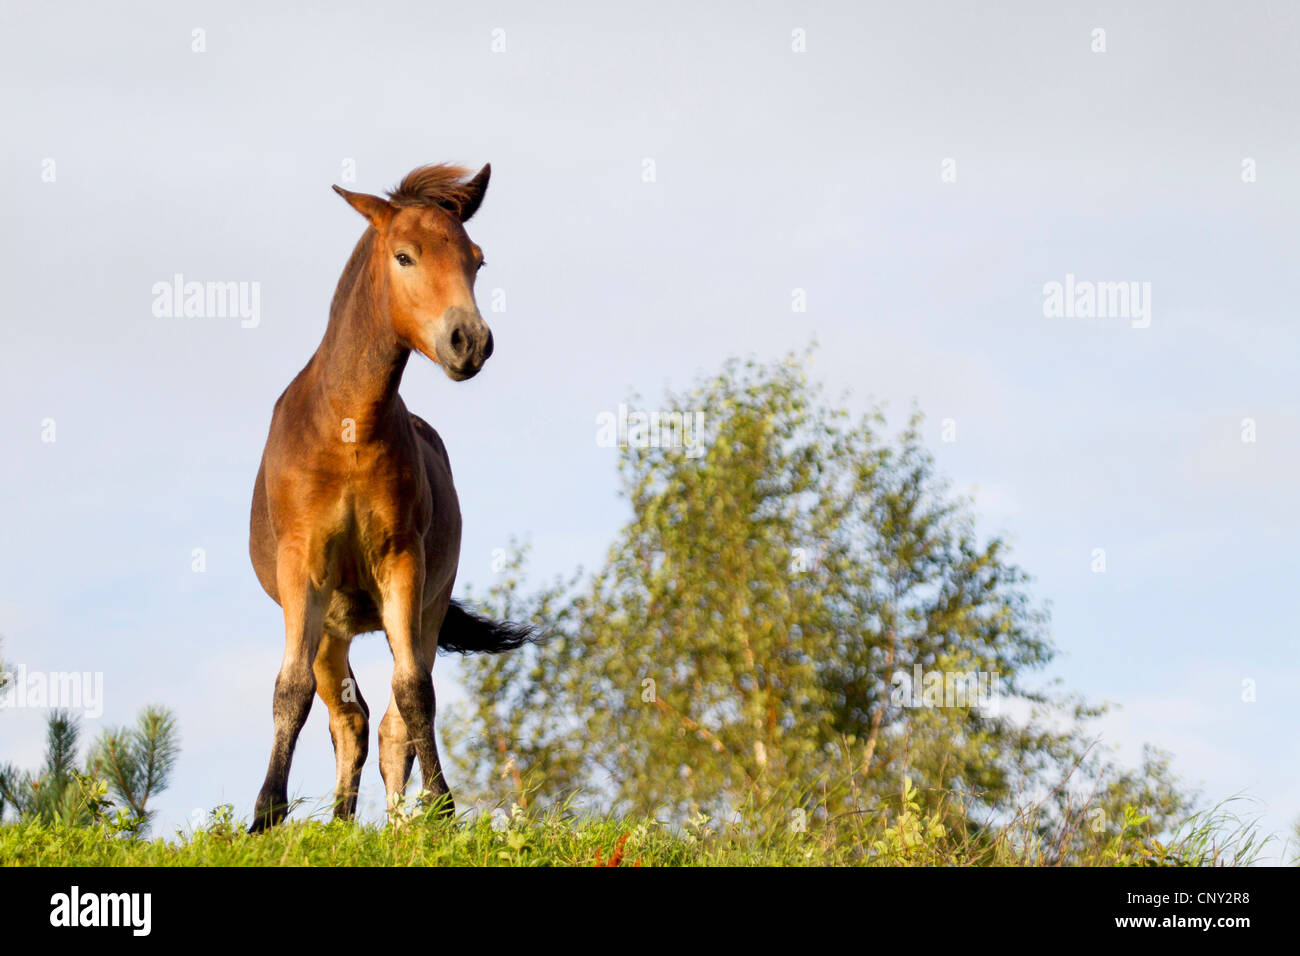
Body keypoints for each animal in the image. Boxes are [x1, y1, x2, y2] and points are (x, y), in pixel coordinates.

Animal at [245, 164, 530, 832]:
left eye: (476, 259)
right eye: (404, 255)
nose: (469, 340)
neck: (347, 429)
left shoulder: (402, 562)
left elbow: (414, 694)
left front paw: (442, 807)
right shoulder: (303, 569)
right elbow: (290, 690)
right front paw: (265, 814)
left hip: (422, 608)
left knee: (393, 719)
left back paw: (397, 822)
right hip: (331, 627)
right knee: (348, 717)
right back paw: (342, 821)